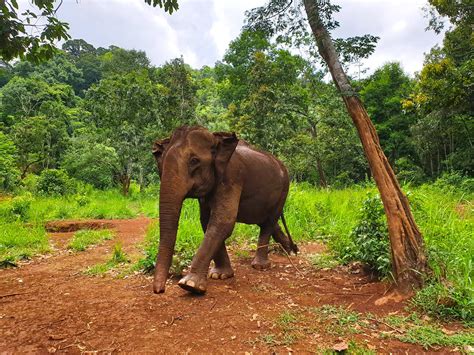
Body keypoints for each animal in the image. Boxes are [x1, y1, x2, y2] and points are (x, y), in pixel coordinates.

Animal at [152, 125, 296, 294]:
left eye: (194, 161)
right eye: (162, 164)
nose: (160, 291)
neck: (217, 139)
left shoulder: (232, 177)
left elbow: (223, 221)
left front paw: (190, 285)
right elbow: (206, 221)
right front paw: (219, 276)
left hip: (284, 190)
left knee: (269, 223)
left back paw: (261, 266)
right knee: (267, 221)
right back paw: (291, 251)